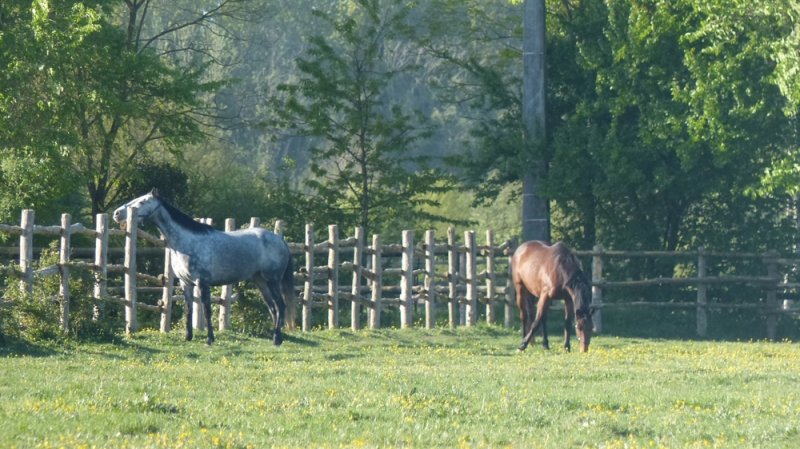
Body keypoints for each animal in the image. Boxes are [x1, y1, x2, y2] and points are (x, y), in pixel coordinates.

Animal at [112, 189, 295, 346]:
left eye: (142, 201)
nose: (116, 213)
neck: (186, 242)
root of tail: (279, 240)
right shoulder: (185, 283)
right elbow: (188, 310)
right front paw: (188, 337)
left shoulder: (202, 282)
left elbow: (206, 310)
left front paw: (210, 339)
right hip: (261, 282)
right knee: (273, 308)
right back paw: (276, 338)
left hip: (272, 280)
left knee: (281, 306)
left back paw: (277, 339)